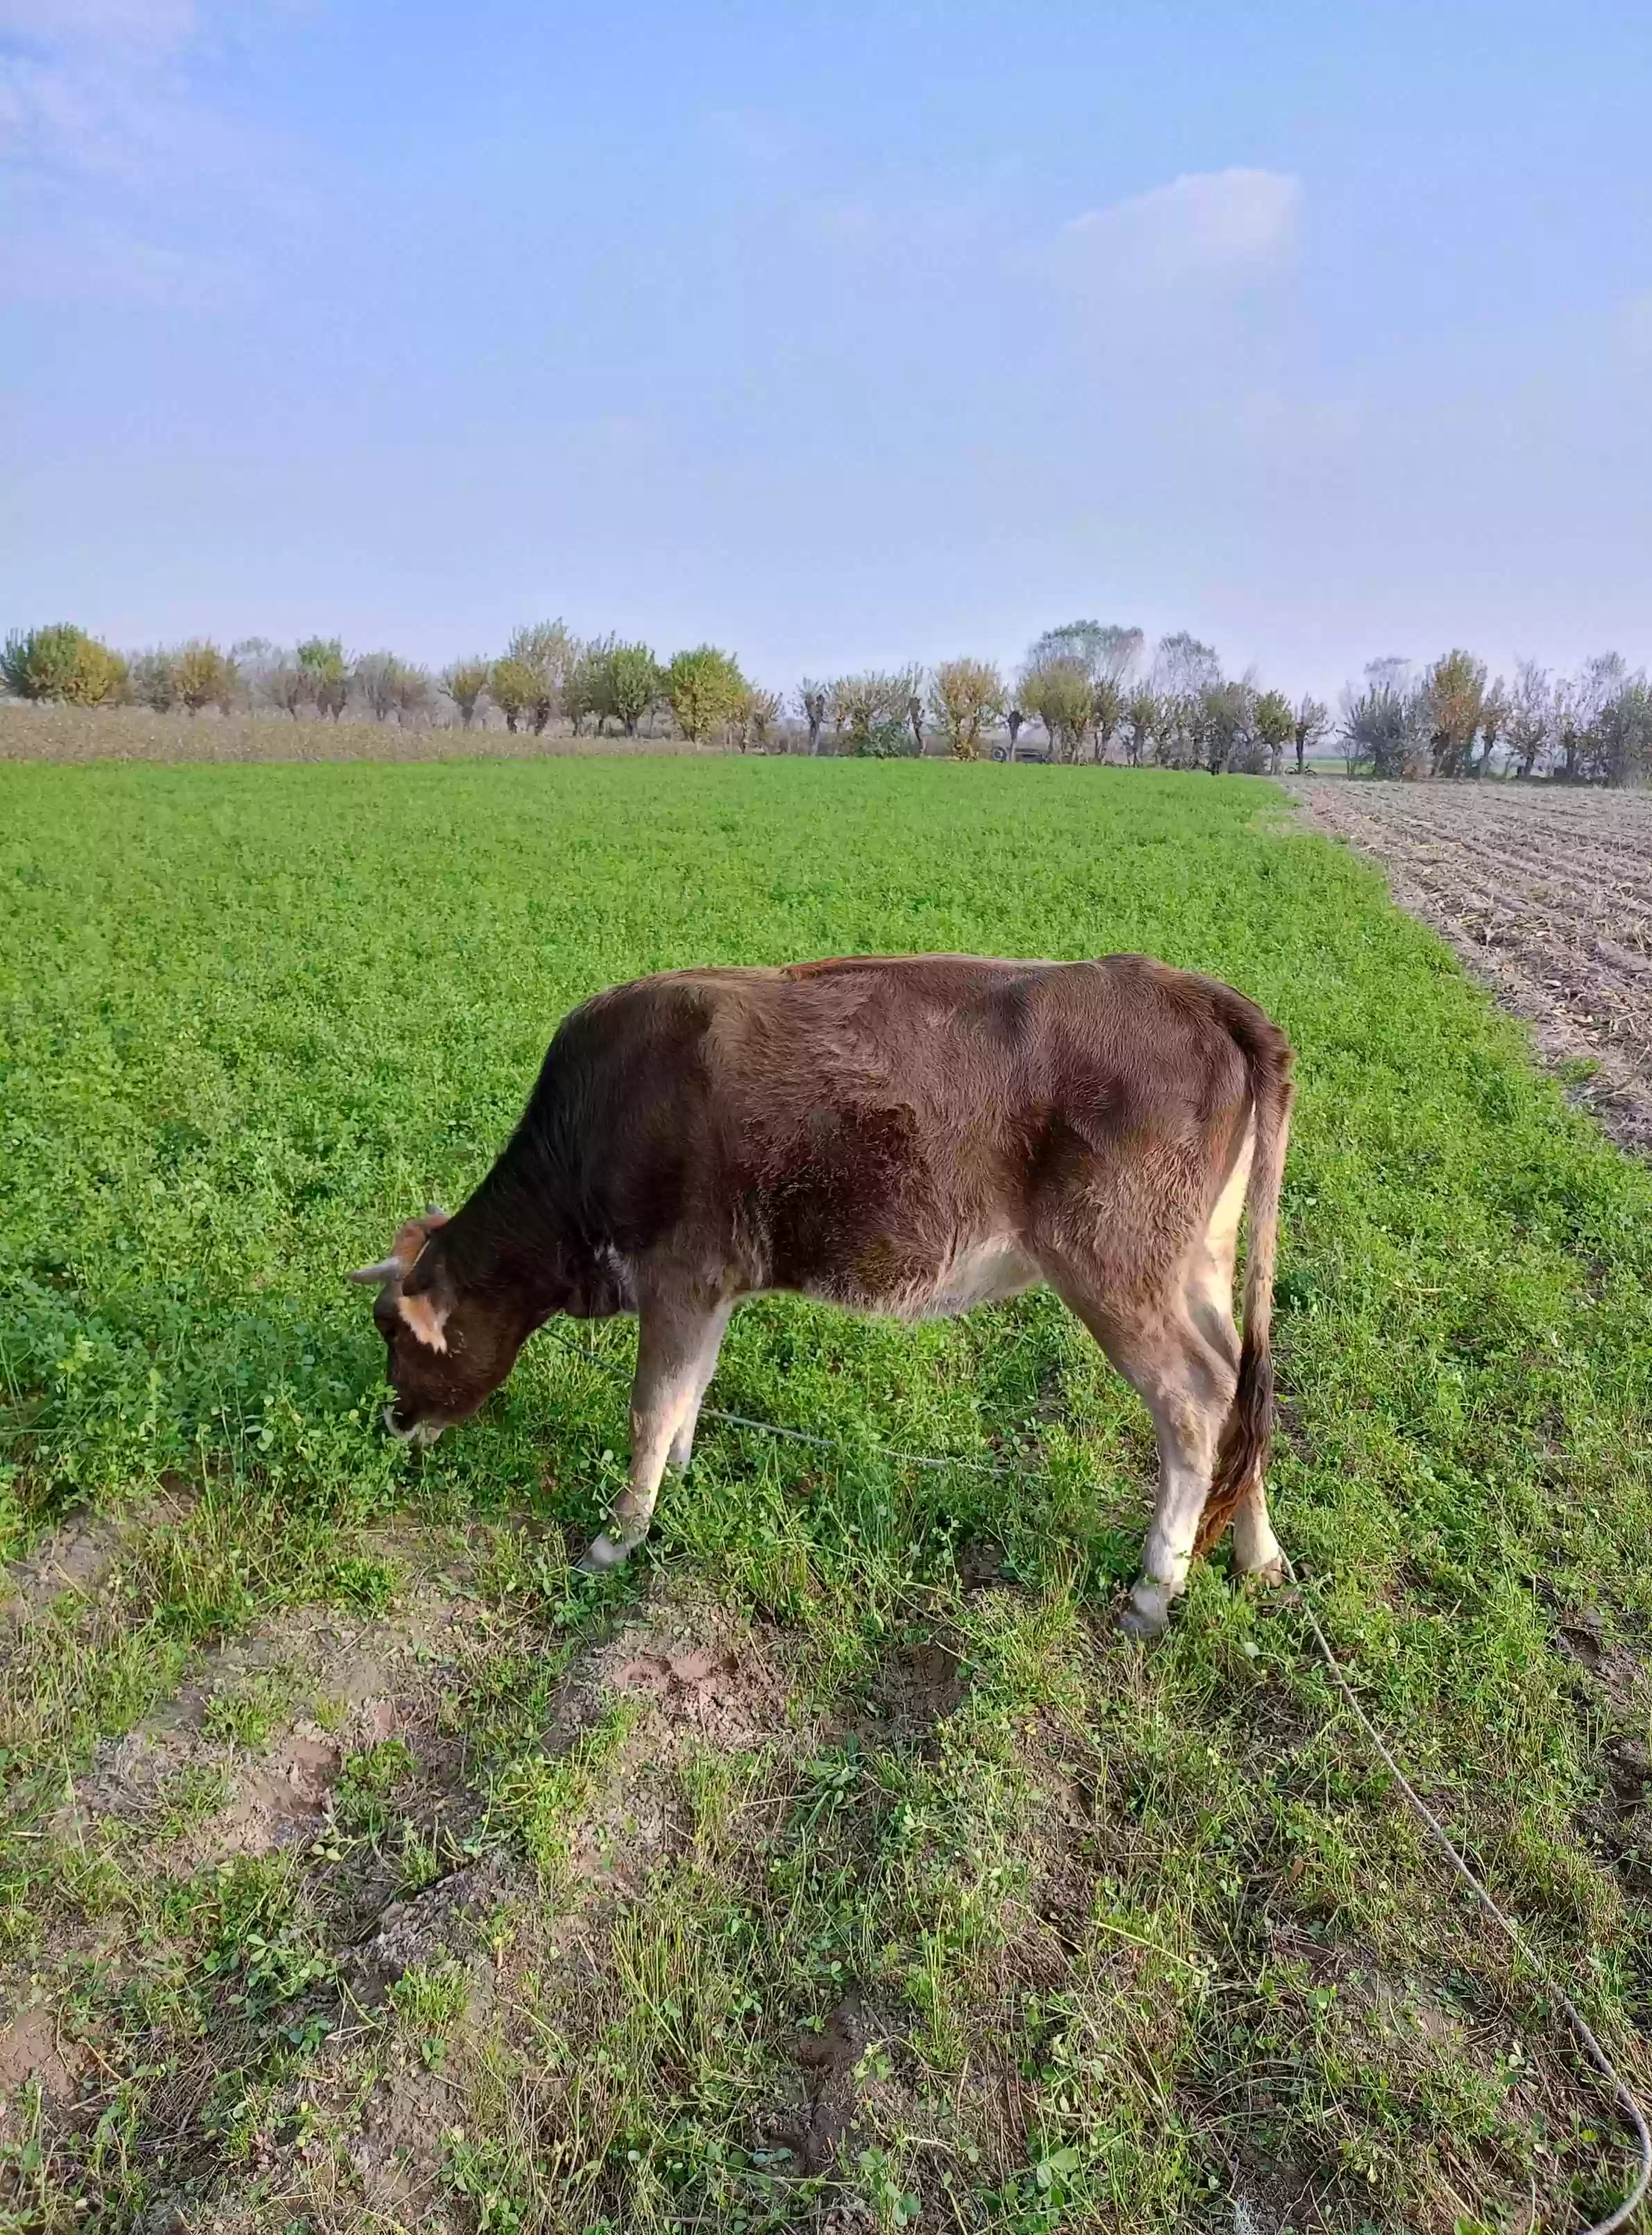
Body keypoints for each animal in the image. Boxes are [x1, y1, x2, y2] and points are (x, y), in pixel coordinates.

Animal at [350, 953, 1294, 1638]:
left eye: (392, 1330)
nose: (392, 1421)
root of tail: (1184, 987)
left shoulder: (677, 1272)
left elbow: (650, 1405)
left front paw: (617, 1537)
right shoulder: (713, 1285)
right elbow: (691, 1388)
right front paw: (680, 1481)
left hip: (1115, 1262)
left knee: (1196, 1399)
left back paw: (1153, 1589)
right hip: (1197, 1259)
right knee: (1245, 1386)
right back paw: (1256, 1552)